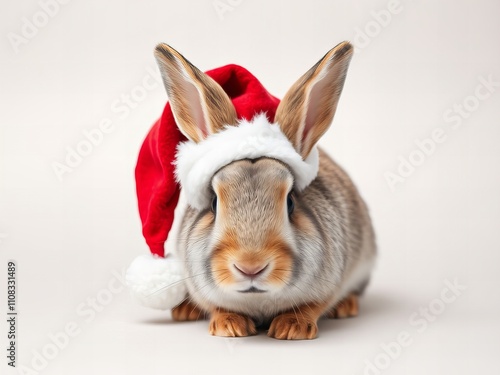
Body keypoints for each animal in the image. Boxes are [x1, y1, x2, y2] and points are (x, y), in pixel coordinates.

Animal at [154, 41, 376, 340]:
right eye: (213, 204)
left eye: (291, 202)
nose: (250, 266)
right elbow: (216, 306)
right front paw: (229, 326)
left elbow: (313, 306)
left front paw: (291, 328)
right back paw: (184, 310)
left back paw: (346, 306)